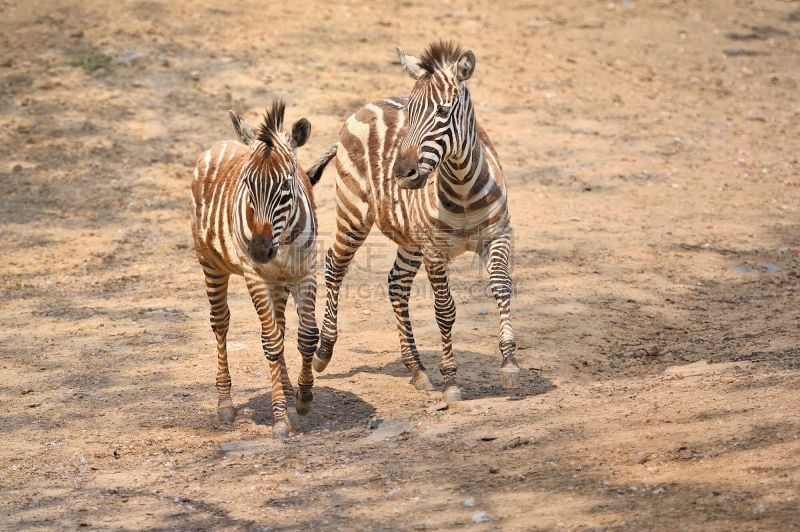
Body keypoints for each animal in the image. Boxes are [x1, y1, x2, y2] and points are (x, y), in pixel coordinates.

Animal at [191, 98, 318, 436]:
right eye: (248, 183)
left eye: (286, 184)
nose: (260, 249)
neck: (282, 238)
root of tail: (220, 144)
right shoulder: (254, 275)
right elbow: (271, 343)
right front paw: (280, 418)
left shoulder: (306, 271)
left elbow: (306, 336)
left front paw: (303, 398)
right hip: (211, 264)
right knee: (220, 322)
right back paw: (225, 402)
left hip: (277, 280)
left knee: (281, 326)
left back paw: (288, 390)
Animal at [306, 41, 520, 402]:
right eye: (411, 112)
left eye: (444, 112)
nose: (402, 173)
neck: (463, 189)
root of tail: (362, 108)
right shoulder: (435, 249)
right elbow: (445, 310)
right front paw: (451, 380)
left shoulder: (497, 235)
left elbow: (501, 286)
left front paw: (509, 364)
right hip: (354, 213)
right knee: (335, 264)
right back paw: (324, 351)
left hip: (409, 237)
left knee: (397, 283)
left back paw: (417, 369)